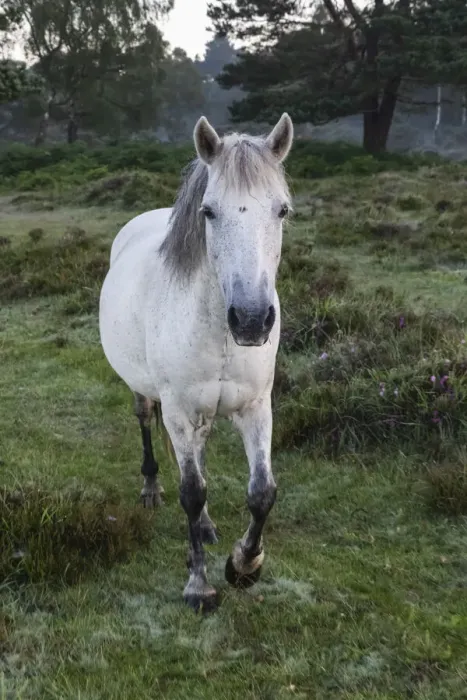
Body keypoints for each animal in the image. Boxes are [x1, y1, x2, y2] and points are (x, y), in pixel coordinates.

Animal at [99, 113, 294, 611]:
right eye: (209, 212)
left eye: (282, 210)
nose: (251, 320)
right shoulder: (178, 411)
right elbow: (191, 490)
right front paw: (199, 585)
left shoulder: (256, 407)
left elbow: (262, 492)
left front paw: (244, 565)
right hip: (146, 393)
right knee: (145, 422)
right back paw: (151, 489)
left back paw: (206, 526)